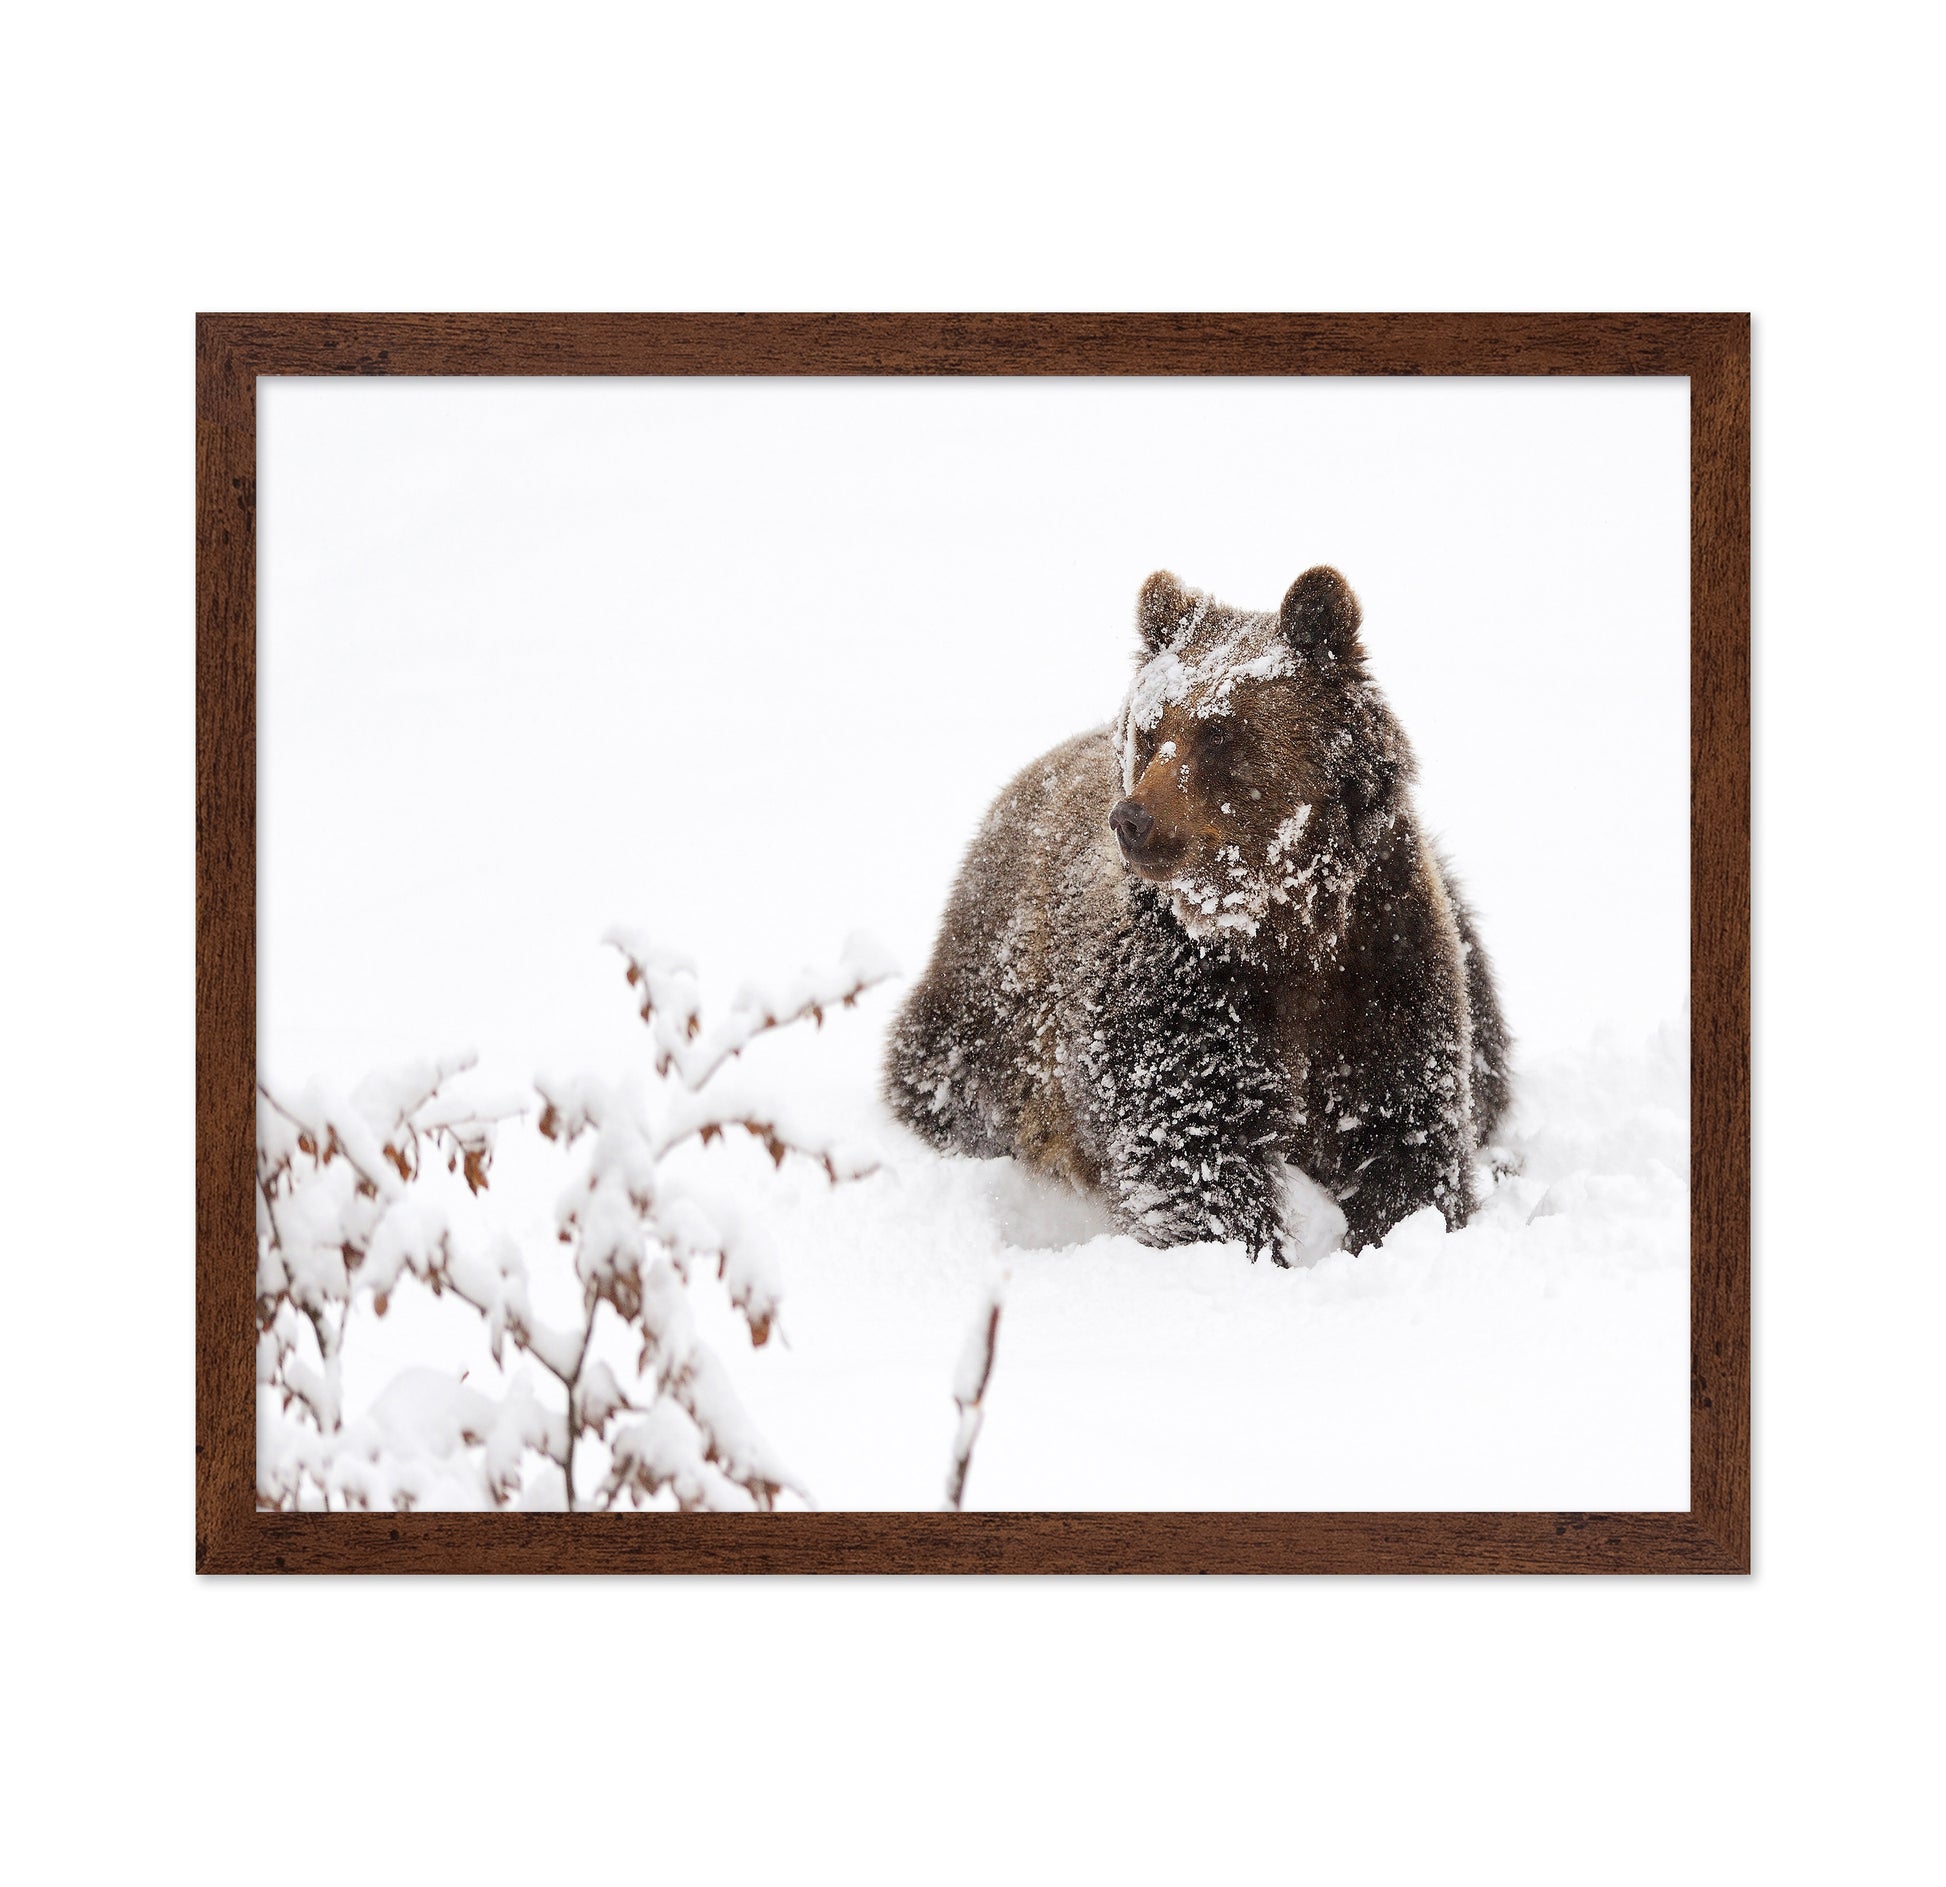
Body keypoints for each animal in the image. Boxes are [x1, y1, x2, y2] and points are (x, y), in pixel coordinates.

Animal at [882, 566, 1511, 1261]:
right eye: (1149, 729)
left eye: (1219, 732)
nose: (1132, 819)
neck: (1278, 922)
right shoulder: (1176, 992)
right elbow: (1192, 1148)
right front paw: (1249, 1249)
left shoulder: (1382, 961)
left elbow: (1404, 1131)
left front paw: (1400, 1226)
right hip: (989, 1018)